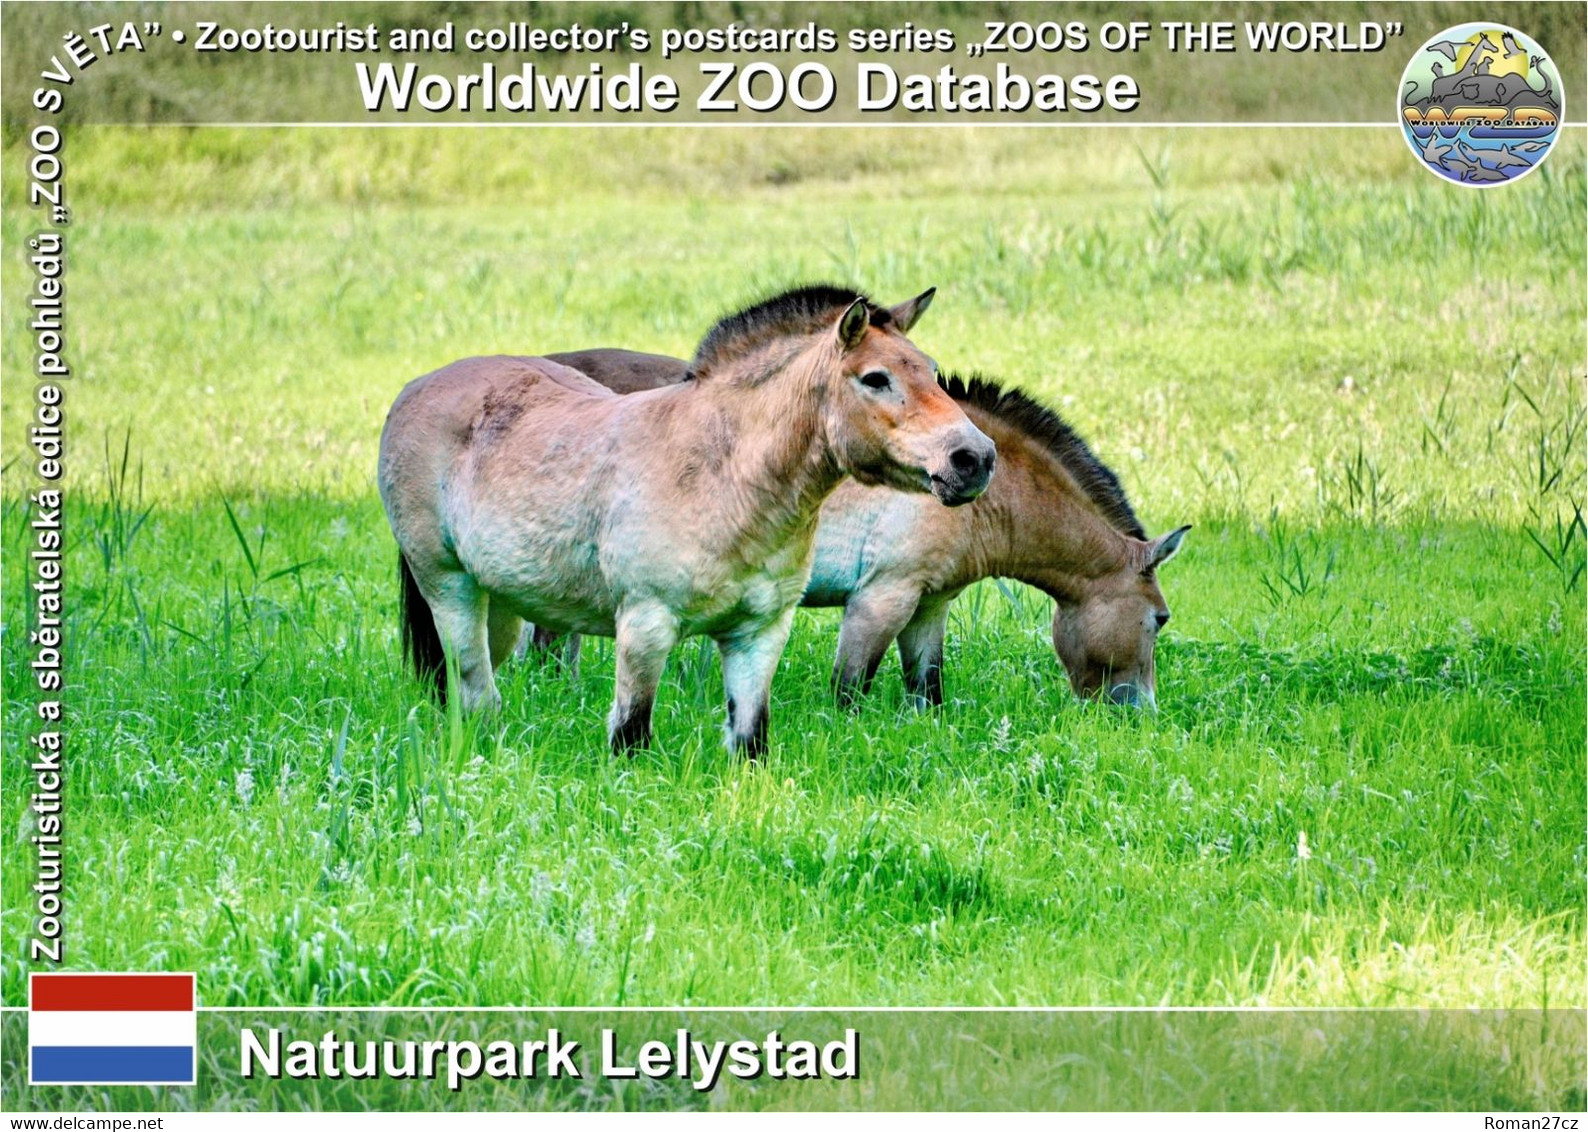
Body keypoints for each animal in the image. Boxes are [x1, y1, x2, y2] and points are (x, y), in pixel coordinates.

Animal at [376, 287, 990, 755]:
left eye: (932, 372)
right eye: (875, 378)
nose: (974, 458)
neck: (722, 475)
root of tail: (414, 388)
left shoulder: (758, 635)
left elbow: (750, 742)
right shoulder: (645, 626)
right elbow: (630, 736)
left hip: (500, 603)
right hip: (449, 586)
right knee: (476, 689)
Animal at [549, 349, 1194, 711]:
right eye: (1159, 619)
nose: (1142, 712)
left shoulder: (929, 606)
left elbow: (927, 690)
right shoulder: (881, 598)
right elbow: (849, 690)